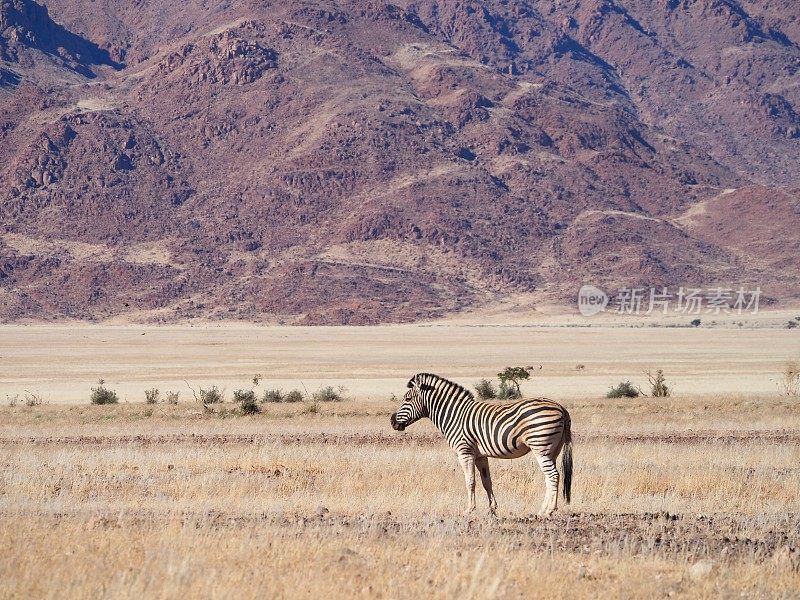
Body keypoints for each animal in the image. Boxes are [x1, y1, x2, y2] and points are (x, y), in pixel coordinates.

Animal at [390, 370, 572, 516]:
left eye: (407, 399)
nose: (392, 422)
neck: (454, 416)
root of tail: (561, 408)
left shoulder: (465, 452)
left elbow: (470, 481)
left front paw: (469, 509)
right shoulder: (480, 456)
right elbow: (486, 482)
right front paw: (492, 509)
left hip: (540, 446)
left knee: (553, 475)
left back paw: (549, 510)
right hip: (553, 449)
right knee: (550, 477)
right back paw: (543, 509)